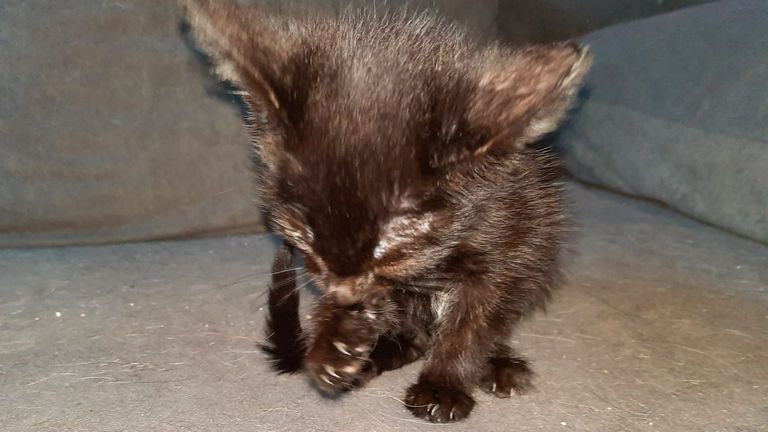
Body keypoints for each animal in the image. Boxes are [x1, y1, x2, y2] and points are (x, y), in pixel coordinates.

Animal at [183, 0, 592, 422]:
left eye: (392, 242)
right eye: (304, 231)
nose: (345, 293)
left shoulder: (507, 244)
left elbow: (473, 323)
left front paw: (443, 384)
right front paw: (335, 340)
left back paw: (497, 364)